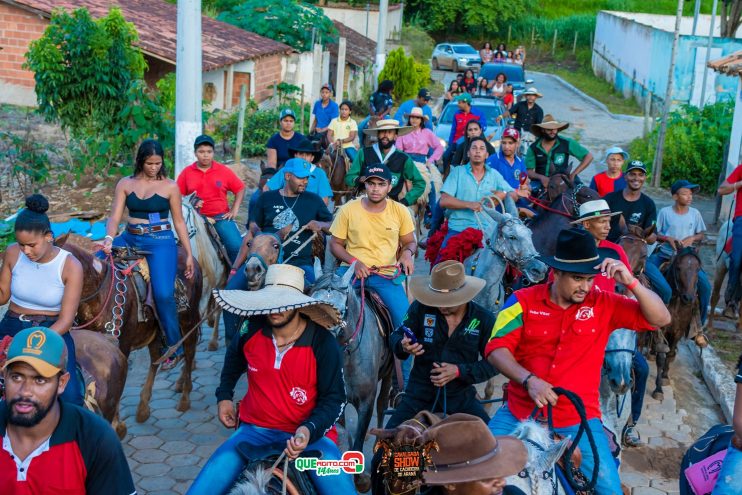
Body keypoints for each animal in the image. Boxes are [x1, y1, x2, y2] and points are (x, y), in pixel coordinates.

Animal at [56, 234, 203, 424]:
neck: (99, 295)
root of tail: (192, 260)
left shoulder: (123, 344)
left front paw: (117, 423)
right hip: (155, 330)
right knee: (156, 358)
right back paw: (143, 408)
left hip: (188, 320)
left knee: (189, 350)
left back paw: (184, 397)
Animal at [308, 260, 392, 492]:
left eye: (339, 310)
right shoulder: (337, 401)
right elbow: (345, 432)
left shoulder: (366, 402)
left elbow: (360, 436)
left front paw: (361, 479)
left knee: (382, 405)